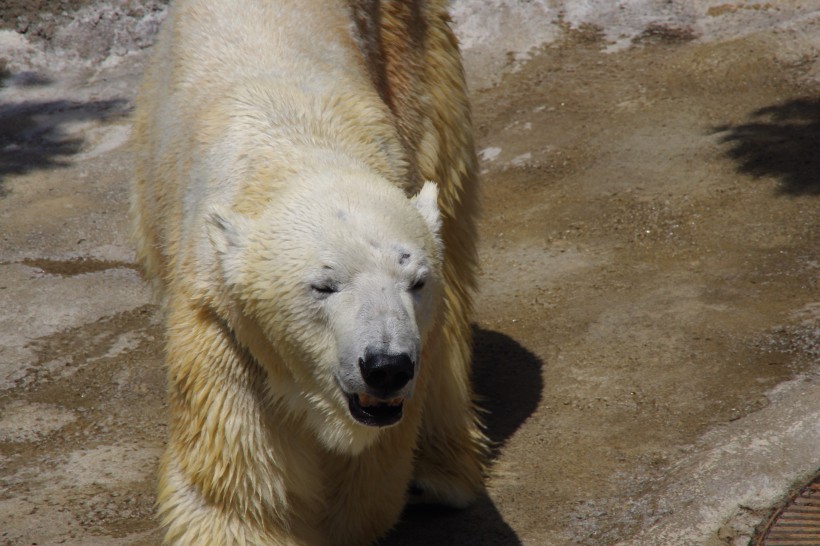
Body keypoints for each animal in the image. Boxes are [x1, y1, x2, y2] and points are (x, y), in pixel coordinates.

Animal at [131, 1, 484, 544]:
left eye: (416, 281)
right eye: (324, 285)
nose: (386, 366)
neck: (296, 143)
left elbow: (366, 482)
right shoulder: (224, 325)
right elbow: (238, 495)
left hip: (415, 57)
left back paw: (439, 476)